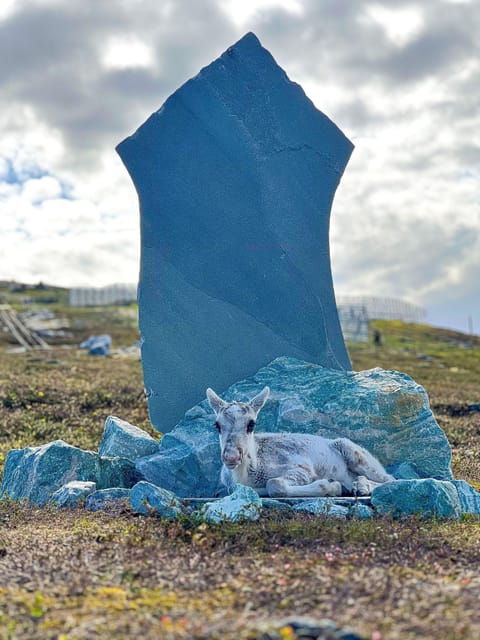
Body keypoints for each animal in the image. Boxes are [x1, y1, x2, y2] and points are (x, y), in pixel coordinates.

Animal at [207, 386, 395, 498]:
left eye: (251, 424)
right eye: (217, 425)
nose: (231, 457)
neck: (247, 474)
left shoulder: (302, 470)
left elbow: (274, 484)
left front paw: (331, 485)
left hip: (356, 455)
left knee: (390, 479)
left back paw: (361, 486)